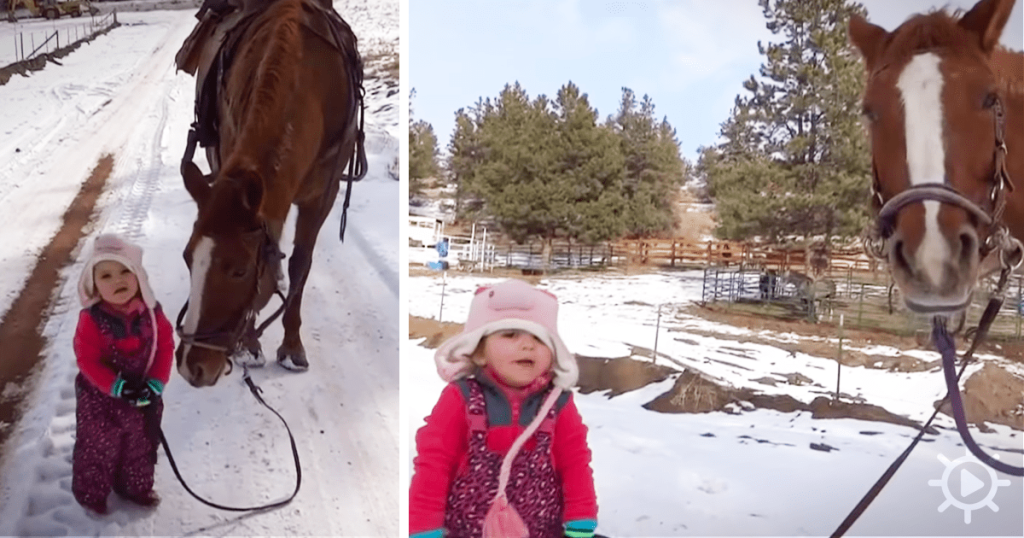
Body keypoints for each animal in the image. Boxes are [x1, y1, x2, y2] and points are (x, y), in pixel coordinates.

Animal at [175, 0, 364, 385]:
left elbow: (299, 265)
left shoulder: (322, 198)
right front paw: (249, 346)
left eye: (240, 270)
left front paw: (292, 348)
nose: (192, 366)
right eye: (187, 258)